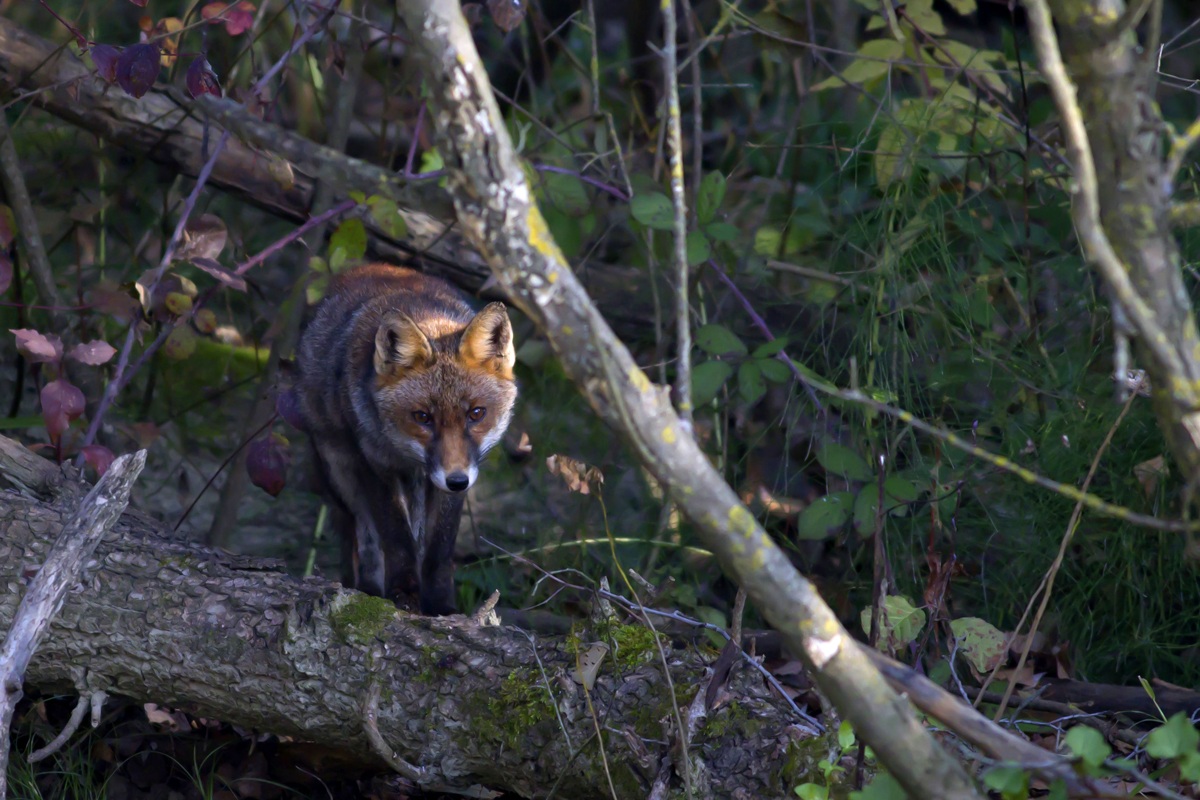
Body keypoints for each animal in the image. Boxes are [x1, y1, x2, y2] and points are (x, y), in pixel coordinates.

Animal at [293, 263, 517, 615]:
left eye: (476, 414)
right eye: (422, 417)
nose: (456, 481)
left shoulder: (454, 480)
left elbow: (439, 550)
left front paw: (441, 606)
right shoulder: (375, 464)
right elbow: (397, 539)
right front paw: (403, 595)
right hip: (341, 472)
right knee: (364, 539)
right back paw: (367, 590)